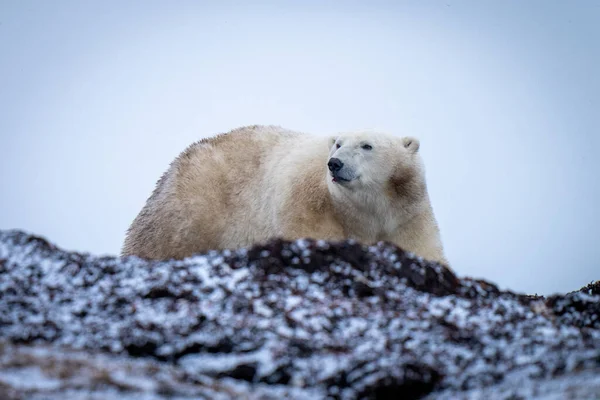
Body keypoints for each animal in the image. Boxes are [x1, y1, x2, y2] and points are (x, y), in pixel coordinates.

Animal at [122, 125, 448, 266]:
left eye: (367, 145)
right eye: (338, 144)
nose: (334, 163)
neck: (366, 213)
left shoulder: (407, 216)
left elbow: (424, 250)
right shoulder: (310, 203)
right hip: (191, 209)